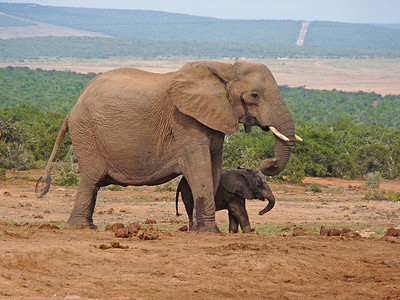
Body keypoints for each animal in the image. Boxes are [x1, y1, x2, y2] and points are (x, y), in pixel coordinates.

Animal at [37, 60, 298, 232]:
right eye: (254, 95)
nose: (268, 162)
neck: (224, 68)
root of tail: (71, 110)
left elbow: (213, 167)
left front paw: (201, 231)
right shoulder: (184, 120)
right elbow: (198, 167)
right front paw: (209, 232)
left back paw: (88, 227)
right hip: (87, 132)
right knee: (91, 179)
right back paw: (79, 229)